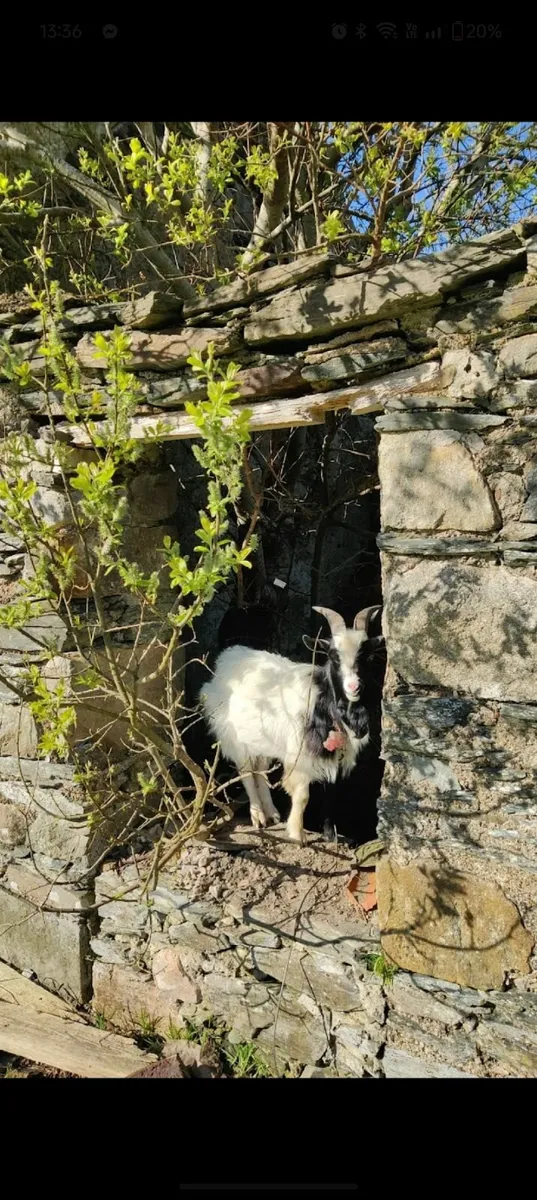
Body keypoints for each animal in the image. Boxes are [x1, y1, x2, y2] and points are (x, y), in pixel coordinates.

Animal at [200, 604, 382, 844]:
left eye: (367, 656)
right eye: (333, 656)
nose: (353, 686)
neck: (321, 701)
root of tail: (230, 653)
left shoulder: (334, 753)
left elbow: (331, 791)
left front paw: (330, 835)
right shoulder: (300, 753)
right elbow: (302, 794)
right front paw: (297, 833)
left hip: (262, 739)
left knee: (260, 770)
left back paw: (272, 813)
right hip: (234, 735)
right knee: (246, 772)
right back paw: (258, 816)